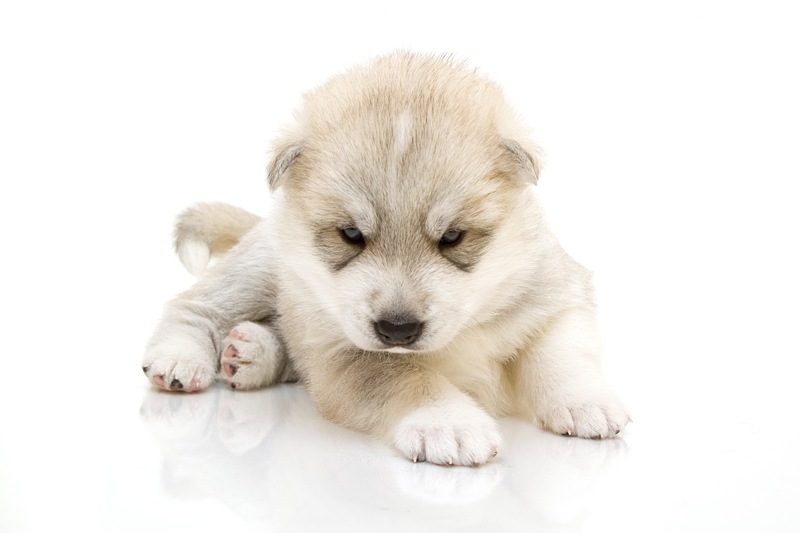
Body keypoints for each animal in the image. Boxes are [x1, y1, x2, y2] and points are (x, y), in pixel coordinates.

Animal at [143, 52, 630, 466]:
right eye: (351, 235)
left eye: (453, 237)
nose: (398, 329)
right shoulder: (344, 355)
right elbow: (410, 379)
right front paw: (447, 423)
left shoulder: (558, 292)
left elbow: (561, 351)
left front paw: (586, 402)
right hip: (260, 268)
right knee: (194, 306)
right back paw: (182, 360)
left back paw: (249, 354)